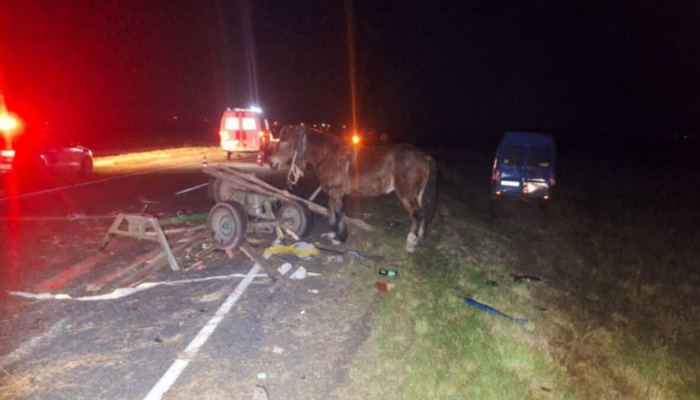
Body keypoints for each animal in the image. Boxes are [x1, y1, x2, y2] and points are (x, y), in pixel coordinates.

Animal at [270, 125, 438, 252]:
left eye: (283, 142)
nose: (272, 163)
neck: (330, 155)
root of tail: (425, 157)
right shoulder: (333, 193)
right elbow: (333, 212)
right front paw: (333, 233)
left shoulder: (337, 192)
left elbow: (339, 213)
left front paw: (340, 238)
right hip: (418, 194)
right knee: (422, 214)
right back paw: (419, 239)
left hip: (407, 195)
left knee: (417, 215)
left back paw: (410, 243)